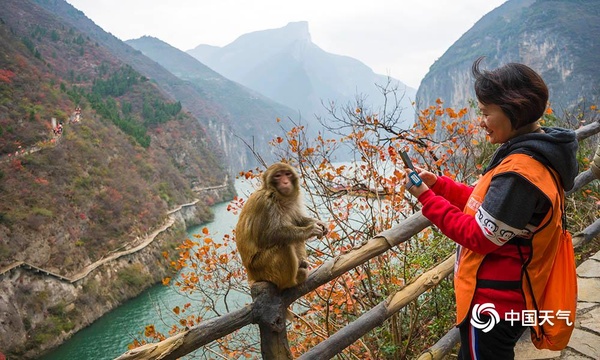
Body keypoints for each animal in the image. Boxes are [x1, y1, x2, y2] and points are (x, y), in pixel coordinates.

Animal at [236, 162, 328, 290]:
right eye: (278, 176)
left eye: (287, 174)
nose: (285, 182)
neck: (277, 196)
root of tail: (251, 276)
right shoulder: (265, 204)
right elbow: (265, 237)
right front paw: (310, 230)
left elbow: (298, 220)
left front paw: (319, 223)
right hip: (262, 268)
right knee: (284, 244)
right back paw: (292, 281)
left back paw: (301, 265)